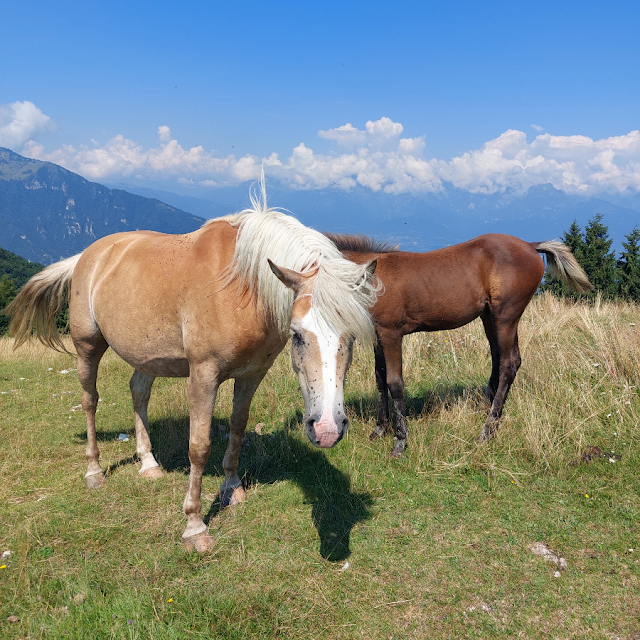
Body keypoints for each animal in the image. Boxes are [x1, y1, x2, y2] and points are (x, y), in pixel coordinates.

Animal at [8, 184, 380, 552]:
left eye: (351, 337)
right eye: (298, 335)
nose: (327, 429)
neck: (243, 287)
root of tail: (89, 254)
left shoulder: (251, 375)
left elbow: (238, 428)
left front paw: (231, 488)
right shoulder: (203, 375)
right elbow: (198, 446)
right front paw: (194, 526)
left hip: (146, 356)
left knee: (138, 393)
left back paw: (149, 464)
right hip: (88, 346)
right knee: (89, 401)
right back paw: (94, 472)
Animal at [328, 231, 592, 456]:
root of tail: (529, 244)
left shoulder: (391, 333)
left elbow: (394, 383)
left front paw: (400, 441)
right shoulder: (378, 335)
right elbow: (380, 379)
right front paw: (379, 430)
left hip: (505, 316)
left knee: (507, 365)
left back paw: (486, 431)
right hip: (490, 317)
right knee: (505, 360)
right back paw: (490, 413)